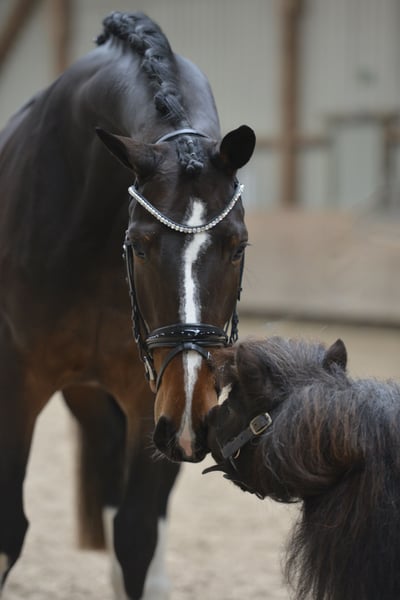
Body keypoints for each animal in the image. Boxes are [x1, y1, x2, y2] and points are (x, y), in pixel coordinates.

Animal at [0, 11, 255, 599]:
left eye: (238, 247)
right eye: (138, 245)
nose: (190, 422)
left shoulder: (155, 398)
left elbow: (137, 534)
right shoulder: (18, 381)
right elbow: (8, 528)